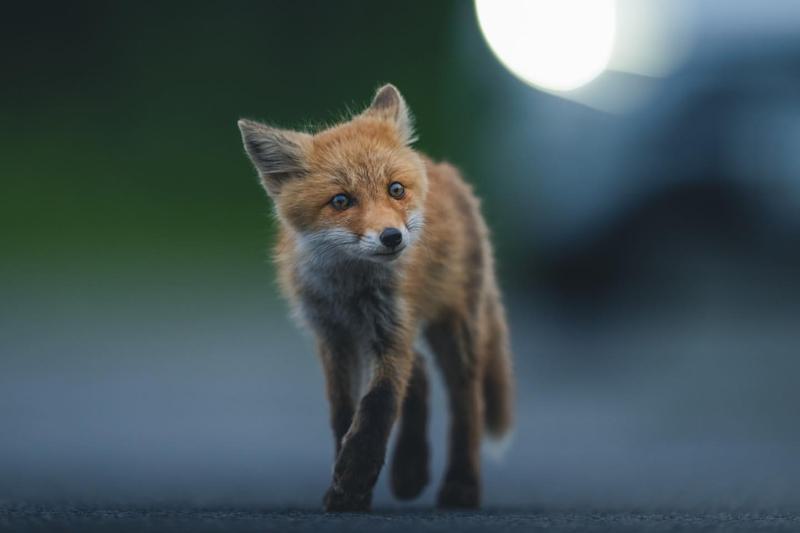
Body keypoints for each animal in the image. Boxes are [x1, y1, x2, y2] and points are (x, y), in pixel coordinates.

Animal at [236, 84, 512, 512]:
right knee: (421, 374)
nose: (392, 237)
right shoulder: (333, 337)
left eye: (395, 190)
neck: (350, 289)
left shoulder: (393, 326)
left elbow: (378, 405)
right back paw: (411, 471)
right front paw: (350, 481)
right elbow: (345, 413)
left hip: (454, 327)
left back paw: (461, 485)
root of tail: (444, 170)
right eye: (340, 201)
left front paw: (352, 482)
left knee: (466, 400)